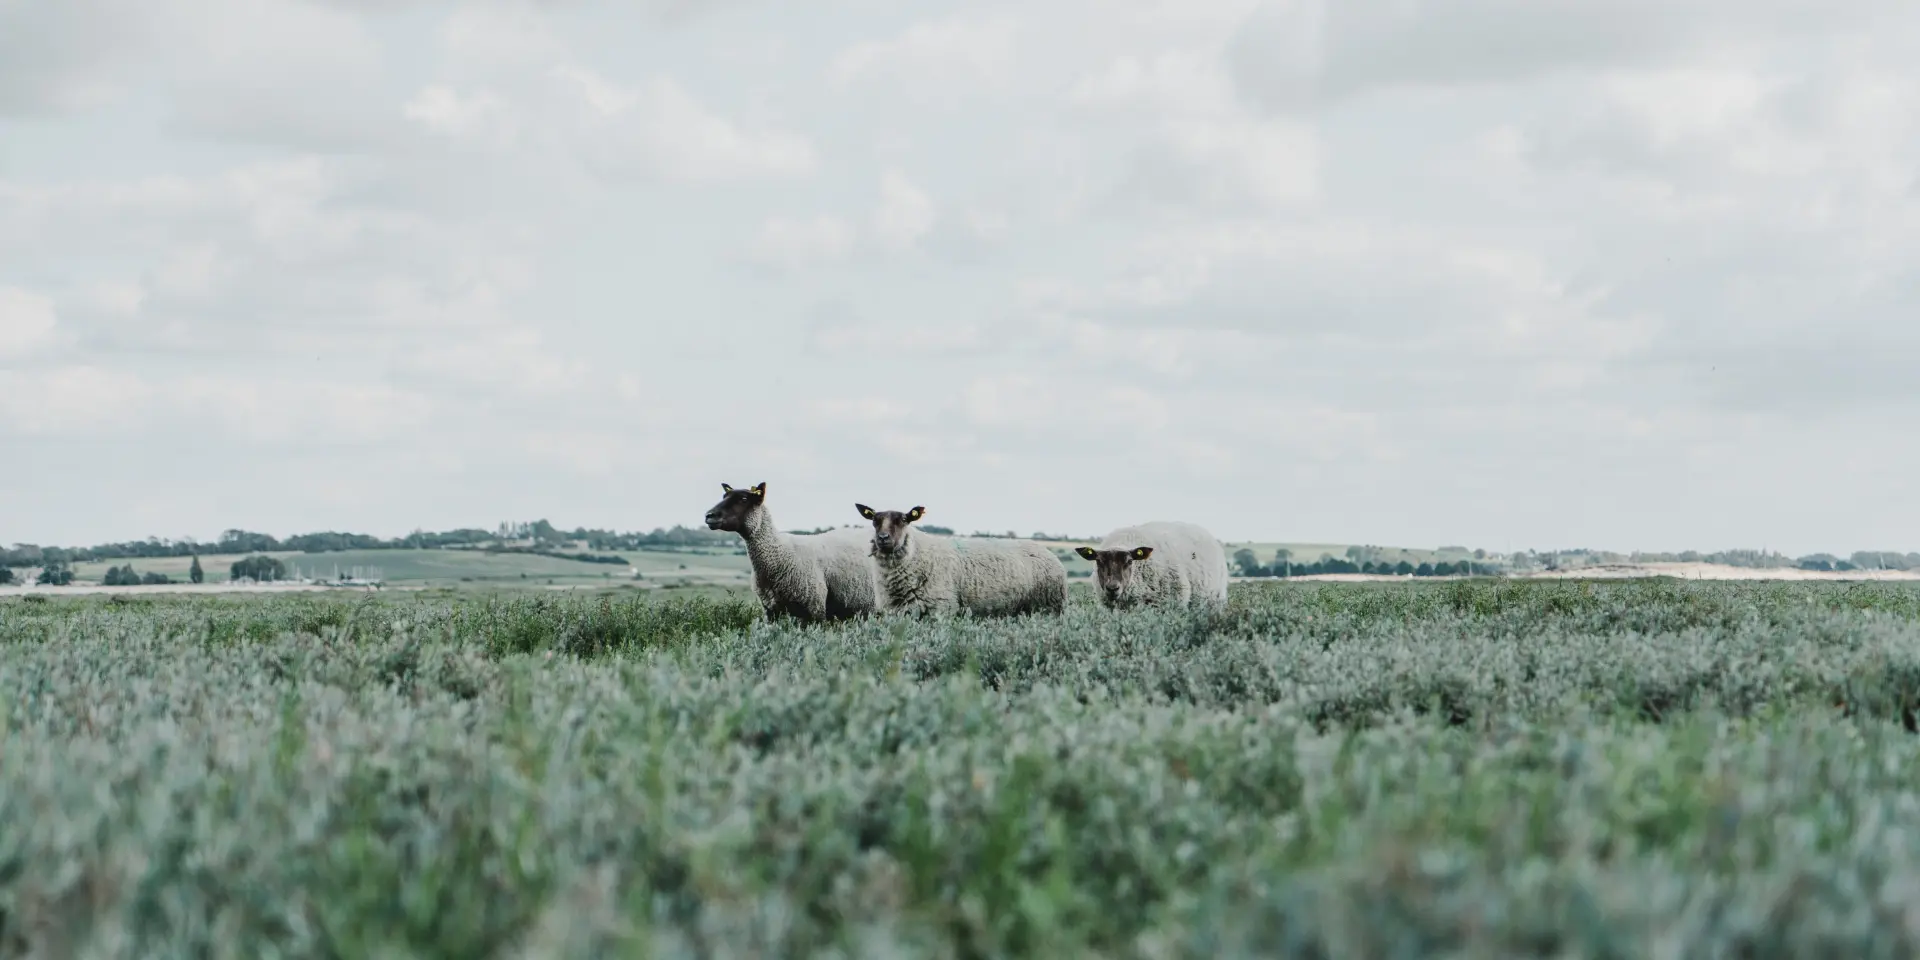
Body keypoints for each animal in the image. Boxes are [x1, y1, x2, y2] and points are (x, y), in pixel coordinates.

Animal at [704, 482, 879, 622]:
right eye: (724, 495)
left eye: (744, 499)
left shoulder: (814, 608)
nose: (709, 516)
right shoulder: (771, 610)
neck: (779, 552)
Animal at [854, 503, 1067, 618]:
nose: (882, 538)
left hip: (1049, 607)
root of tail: (1048, 552)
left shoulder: (940, 609)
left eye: (904, 520)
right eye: (874, 521)